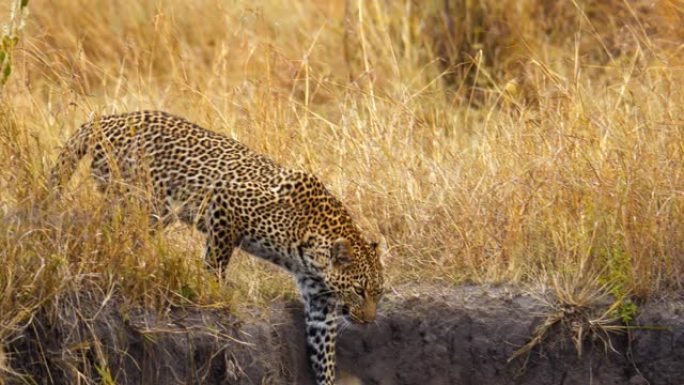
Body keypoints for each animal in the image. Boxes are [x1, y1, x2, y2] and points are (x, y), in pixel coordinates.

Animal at [52, 109, 384, 384]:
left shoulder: (320, 302)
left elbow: (324, 352)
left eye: (378, 293)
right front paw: (215, 298)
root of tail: (105, 120)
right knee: (104, 232)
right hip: (138, 202)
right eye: (359, 290)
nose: (369, 321)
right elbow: (216, 265)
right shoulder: (225, 209)